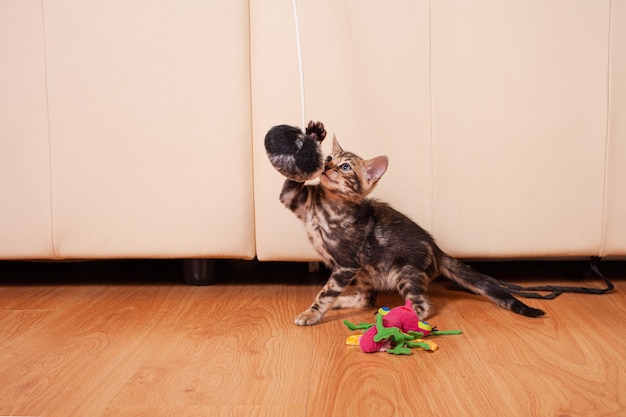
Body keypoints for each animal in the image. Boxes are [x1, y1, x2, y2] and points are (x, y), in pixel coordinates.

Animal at [278, 122, 540, 324]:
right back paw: (345, 301)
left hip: (404, 272)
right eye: (330, 158)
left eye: (345, 167)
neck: (328, 205)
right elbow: (290, 185)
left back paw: (394, 315)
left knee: (422, 306)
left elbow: (325, 293)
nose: (327, 166)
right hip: (367, 271)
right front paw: (312, 135)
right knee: (366, 298)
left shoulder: (346, 264)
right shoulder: (294, 199)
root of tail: (437, 249)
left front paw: (311, 314)